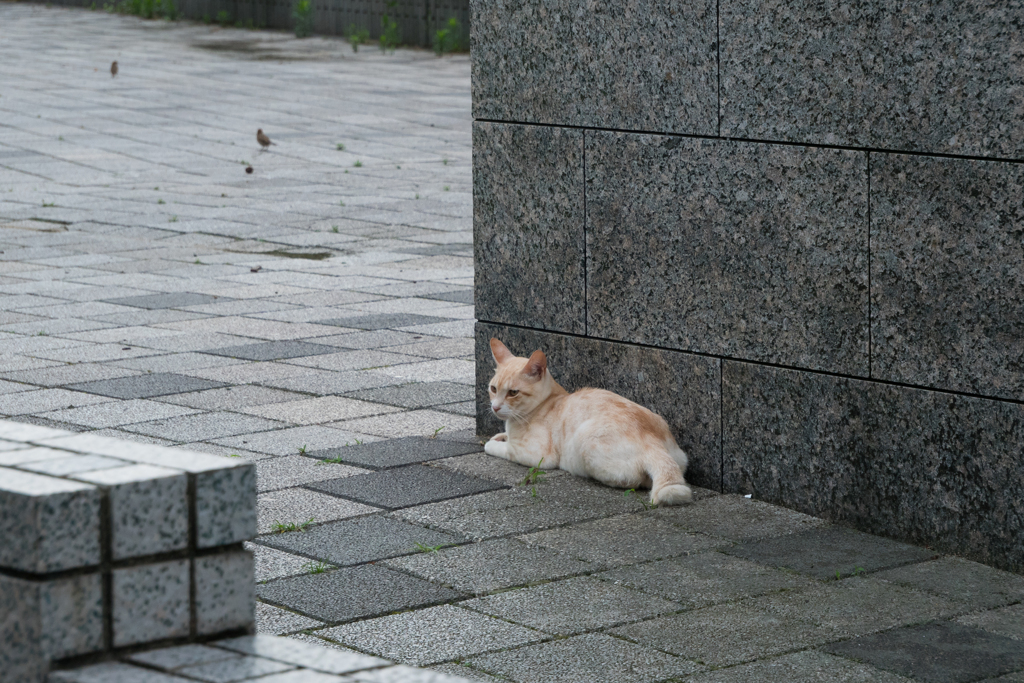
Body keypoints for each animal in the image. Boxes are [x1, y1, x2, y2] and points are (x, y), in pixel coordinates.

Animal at [481, 337, 692, 505]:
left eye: (513, 393)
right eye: (493, 389)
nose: (495, 407)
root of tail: (652, 441)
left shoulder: (536, 455)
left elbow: (495, 447)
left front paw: (494, 442)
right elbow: (502, 437)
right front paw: (500, 435)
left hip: (584, 439)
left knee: (631, 481)